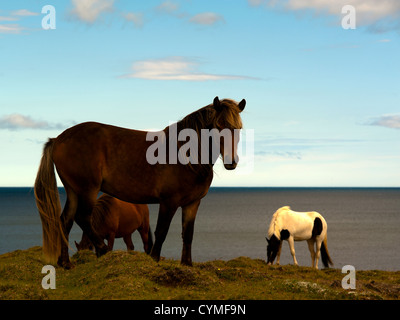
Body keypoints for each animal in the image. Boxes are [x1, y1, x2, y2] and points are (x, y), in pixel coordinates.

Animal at [34, 95, 245, 268]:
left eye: (238, 129)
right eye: (218, 126)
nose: (231, 162)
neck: (186, 156)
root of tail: (58, 139)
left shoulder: (192, 203)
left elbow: (188, 233)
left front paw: (187, 264)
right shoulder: (169, 202)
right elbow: (161, 231)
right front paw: (154, 258)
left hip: (73, 190)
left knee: (65, 221)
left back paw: (65, 263)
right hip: (87, 190)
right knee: (82, 217)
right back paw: (102, 250)